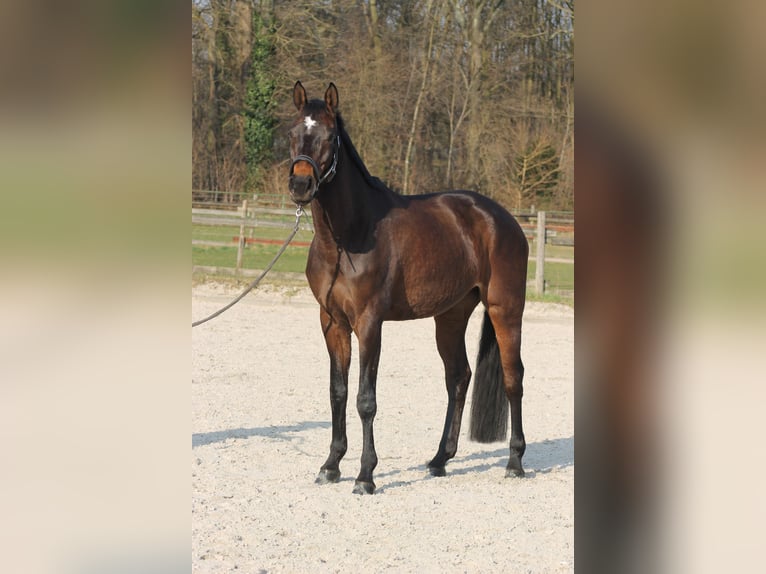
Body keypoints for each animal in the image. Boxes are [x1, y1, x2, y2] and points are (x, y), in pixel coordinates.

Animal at [286, 81, 528, 496]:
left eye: (330, 137)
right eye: (292, 133)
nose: (301, 184)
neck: (348, 236)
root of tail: (503, 219)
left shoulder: (369, 323)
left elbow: (366, 399)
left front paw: (365, 476)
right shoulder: (332, 322)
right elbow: (338, 392)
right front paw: (331, 465)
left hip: (505, 311)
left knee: (514, 379)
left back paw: (514, 462)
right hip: (450, 317)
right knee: (459, 377)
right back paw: (440, 459)